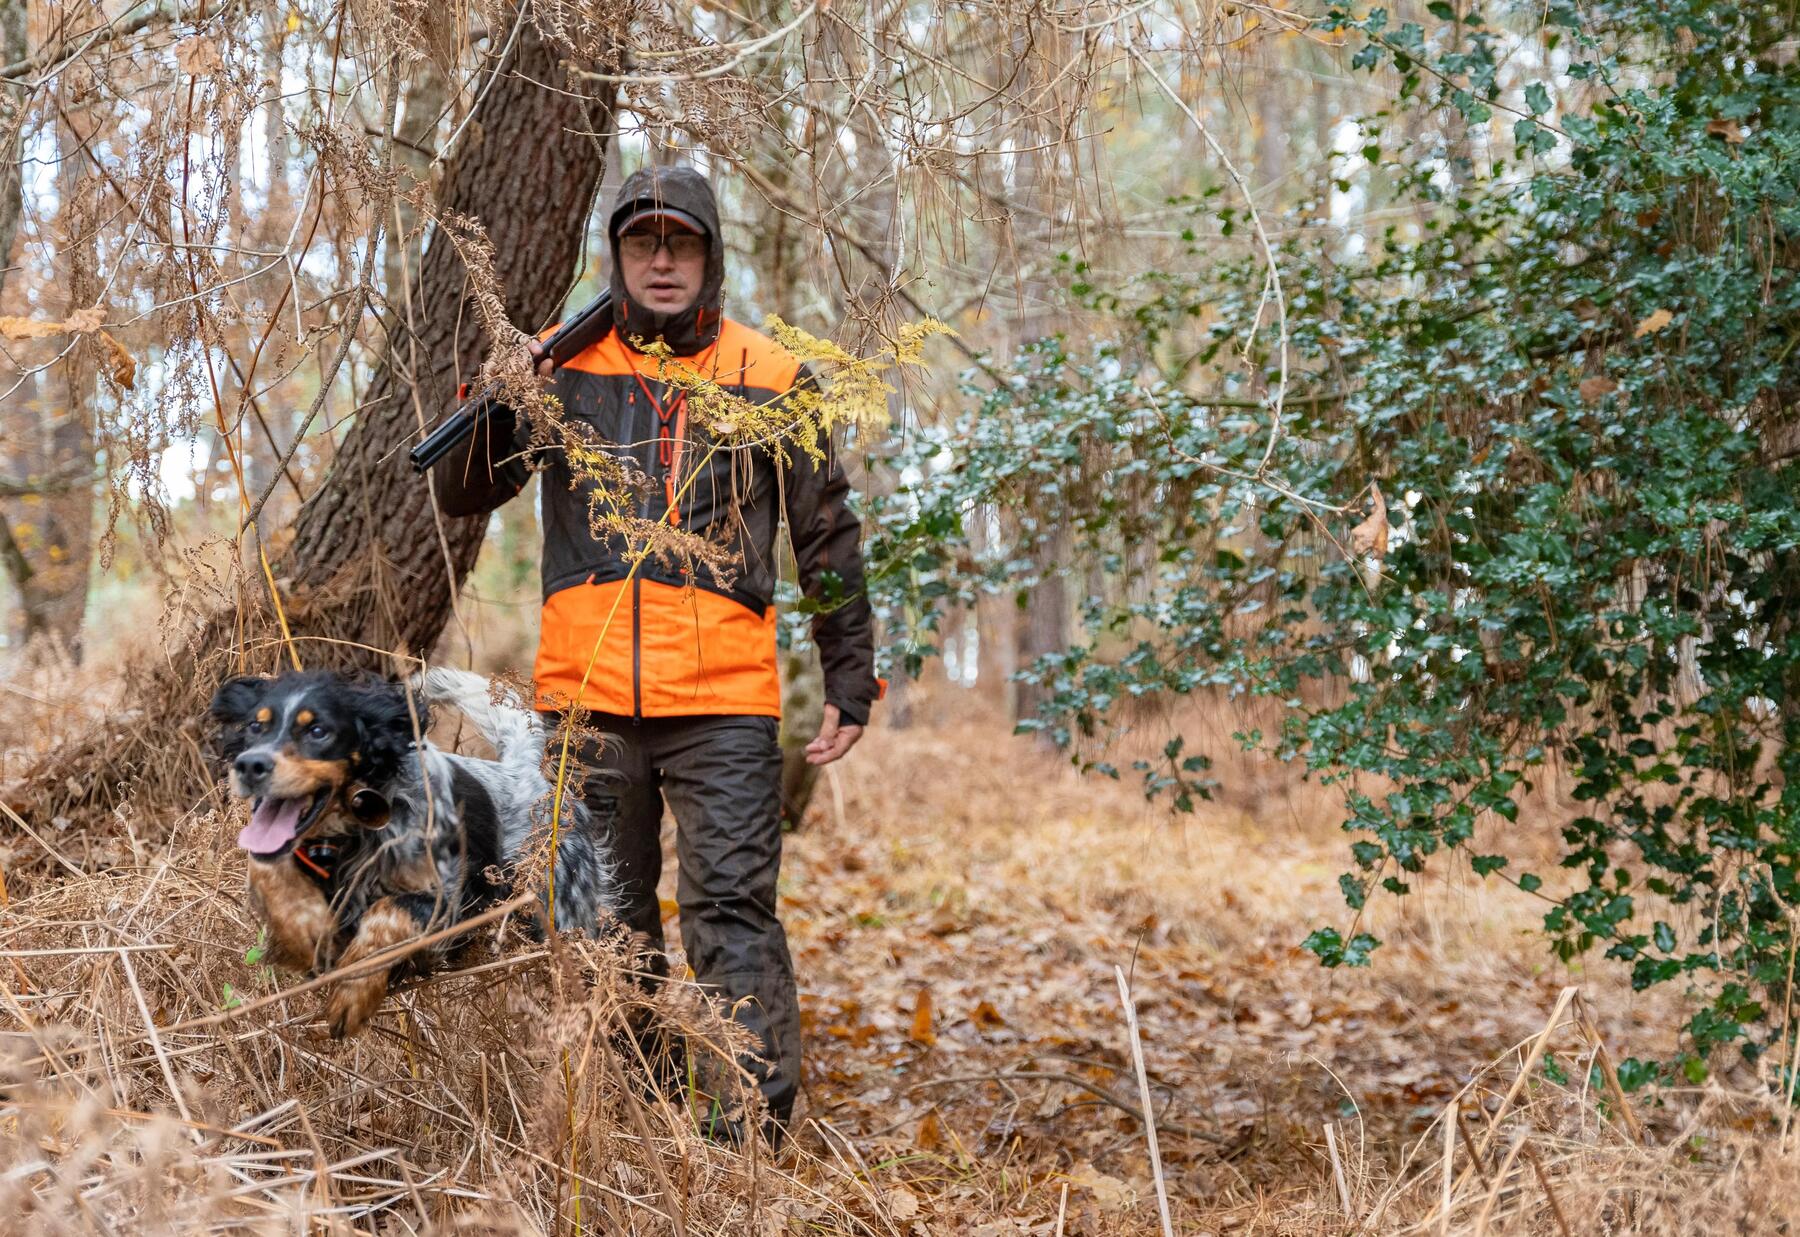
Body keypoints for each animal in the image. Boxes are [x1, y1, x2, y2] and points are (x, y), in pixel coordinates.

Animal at [212, 666, 612, 1037]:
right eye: (255, 727)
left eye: (318, 731)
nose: (249, 765)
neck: (354, 835)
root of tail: (526, 775)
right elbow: (268, 870)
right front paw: (303, 931)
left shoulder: (453, 902)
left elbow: (390, 911)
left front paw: (352, 993)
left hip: (563, 919)